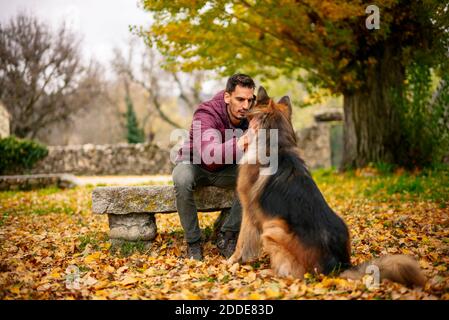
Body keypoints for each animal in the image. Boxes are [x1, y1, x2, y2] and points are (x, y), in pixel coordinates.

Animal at [229, 87, 426, 288]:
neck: (277, 146)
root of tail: (338, 266)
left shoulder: (249, 210)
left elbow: (241, 242)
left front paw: (231, 262)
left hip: (274, 229)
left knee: (293, 274)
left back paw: (269, 272)